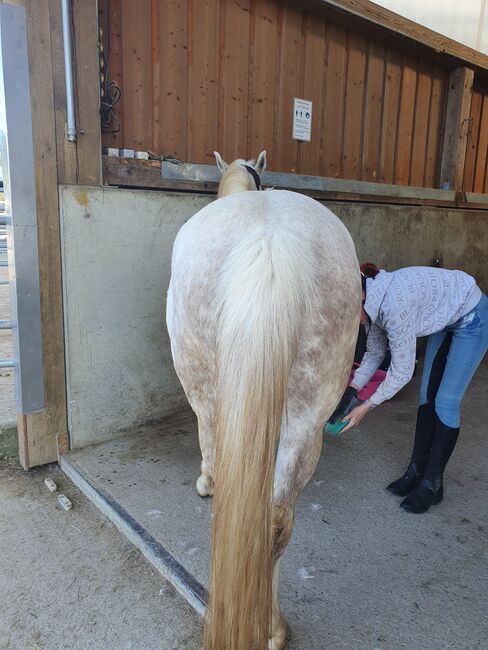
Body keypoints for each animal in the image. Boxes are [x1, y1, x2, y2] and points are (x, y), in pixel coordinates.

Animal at [166, 149, 360, 644]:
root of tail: (269, 246)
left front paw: (205, 483)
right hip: (308, 418)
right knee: (274, 518)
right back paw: (272, 629)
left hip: (204, 389)